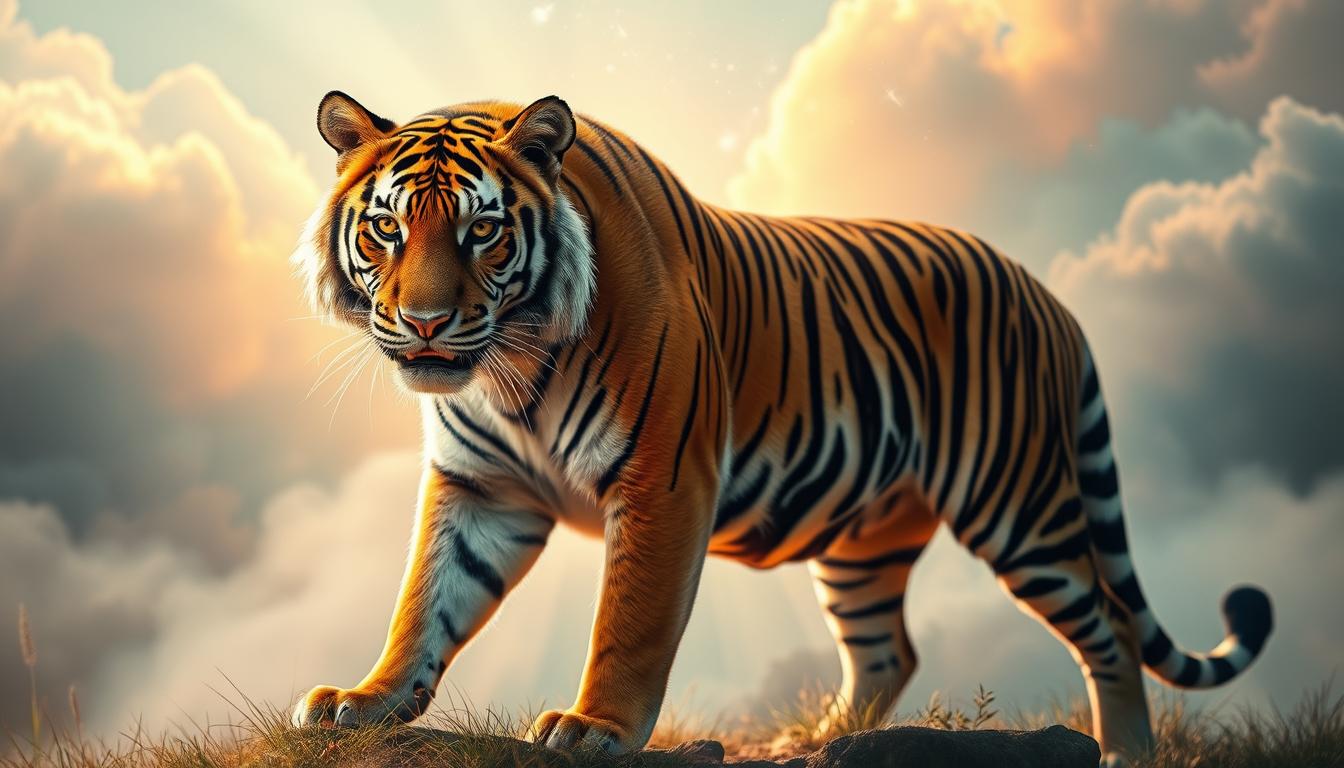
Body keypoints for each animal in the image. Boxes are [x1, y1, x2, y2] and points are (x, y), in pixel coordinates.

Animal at [289, 92, 1273, 762]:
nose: (423, 324)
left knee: (1109, 626)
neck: (509, 374)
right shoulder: (482, 487)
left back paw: (1126, 753)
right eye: (386, 230)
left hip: (1019, 505)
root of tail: (1050, 296)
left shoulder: (663, 478)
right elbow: (424, 602)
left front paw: (594, 727)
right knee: (888, 651)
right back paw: (807, 743)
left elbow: (629, 620)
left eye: (483, 231)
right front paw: (365, 701)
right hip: (866, 542)